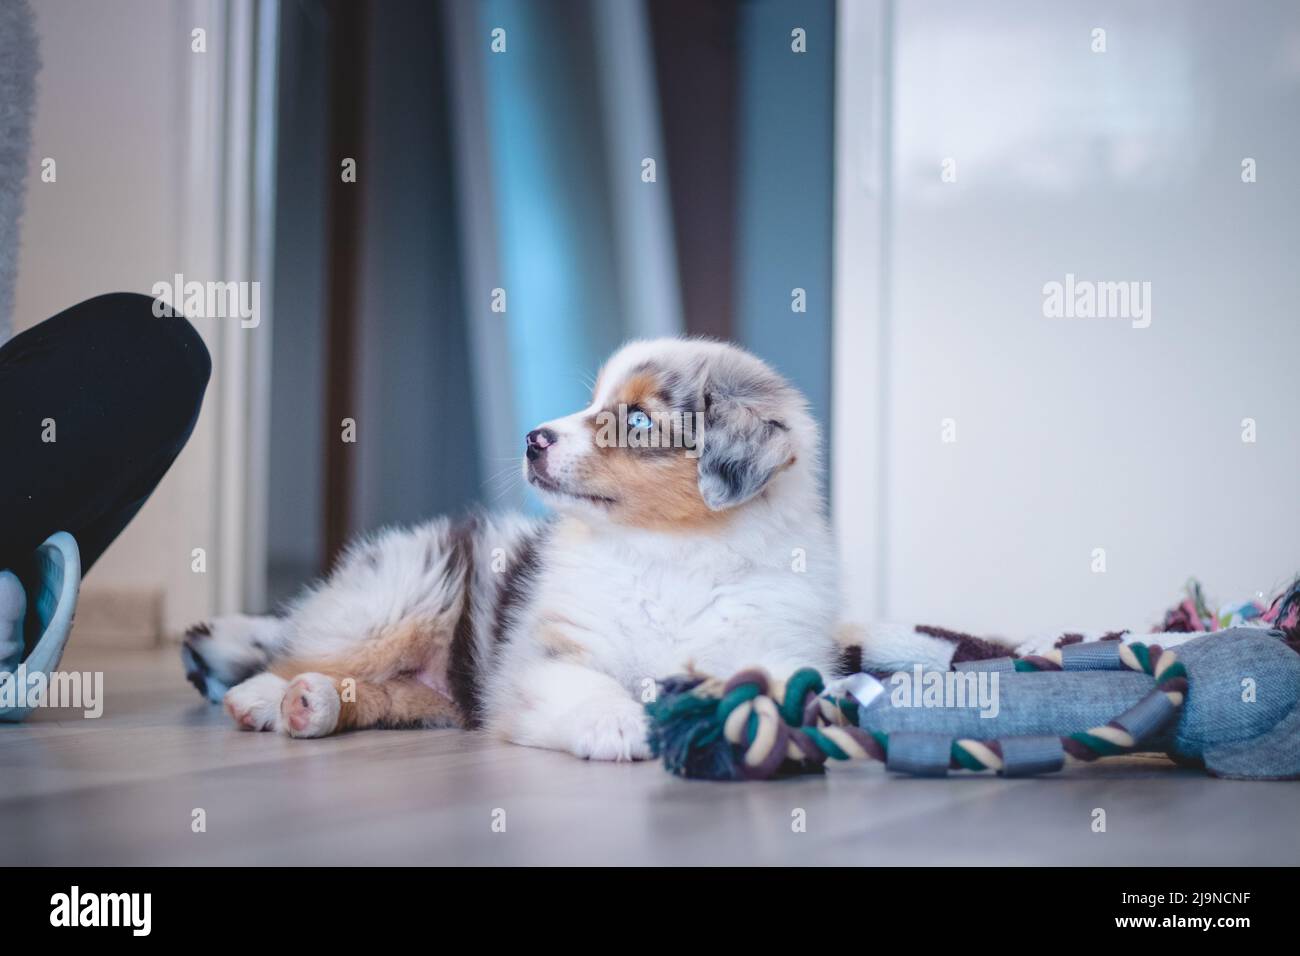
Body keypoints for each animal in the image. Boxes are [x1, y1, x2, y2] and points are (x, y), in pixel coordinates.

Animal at [183, 340, 842, 759]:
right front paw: (617, 724)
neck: (666, 555)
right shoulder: (545, 655)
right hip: (401, 600)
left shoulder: (774, 646)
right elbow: (584, 684)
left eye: (635, 421)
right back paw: (261, 694)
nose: (533, 438)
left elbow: (779, 687)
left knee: (389, 692)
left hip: (440, 686)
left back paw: (310, 704)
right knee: (301, 649)